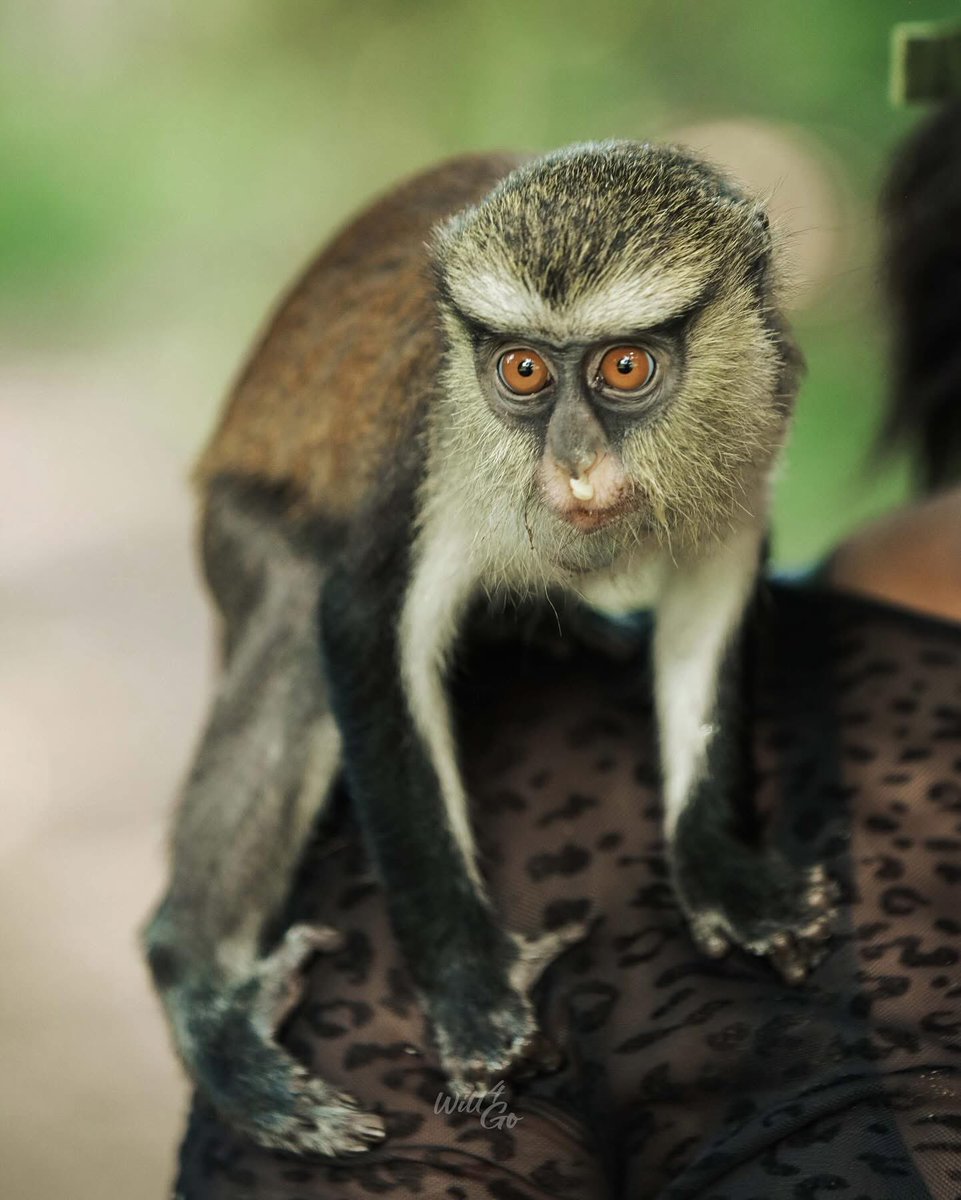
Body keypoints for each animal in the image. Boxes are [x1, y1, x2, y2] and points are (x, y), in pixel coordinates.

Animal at [143, 141, 836, 1158]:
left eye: (623, 365)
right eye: (521, 371)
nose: (574, 460)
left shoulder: (760, 417)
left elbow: (712, 592)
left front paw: (723, 872)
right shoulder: (423, 447)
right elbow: (357, 624)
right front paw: (471, 992)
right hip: (241, 526)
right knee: (295, 628)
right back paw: (203, 990)